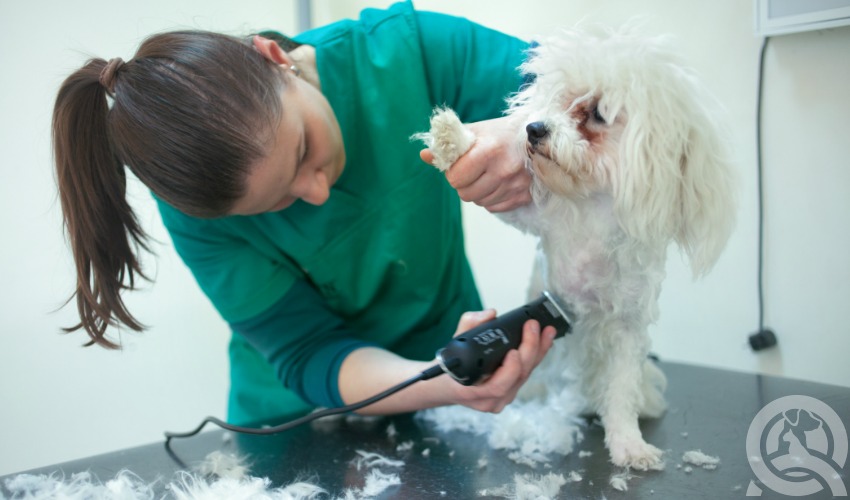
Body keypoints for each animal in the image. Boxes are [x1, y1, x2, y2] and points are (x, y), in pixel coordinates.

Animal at [420, 23, 736, 468]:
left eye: (598, 113)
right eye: (559, 101)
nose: (534, 128)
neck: (593, 206)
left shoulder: (626, 328)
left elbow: (621, 391)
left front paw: (629, 445)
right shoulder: (536, 218)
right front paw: (453, 139)